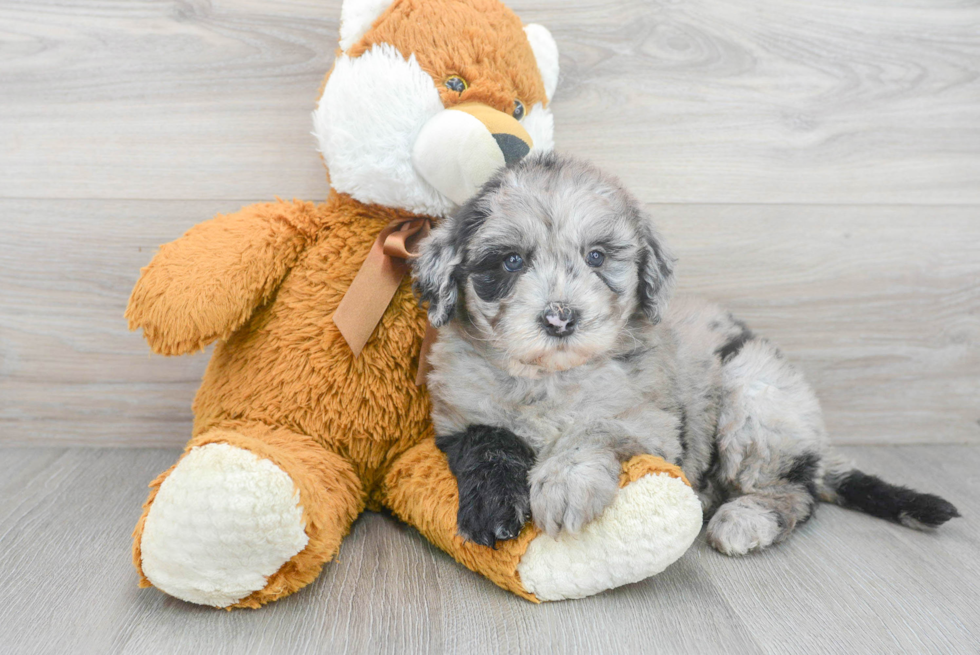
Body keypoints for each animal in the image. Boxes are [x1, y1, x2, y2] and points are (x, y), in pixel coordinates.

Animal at [410, 154, 960, 552]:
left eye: (596, 257)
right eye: (510, 261)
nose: (561, 318)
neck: (551, 378)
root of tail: (818, 443)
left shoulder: (653, 424)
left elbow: (593, 427)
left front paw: (564, 484)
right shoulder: (459, 416)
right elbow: (488, 443)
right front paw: (493, 511)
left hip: (756, 394)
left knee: (795, 492)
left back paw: (745, 519)